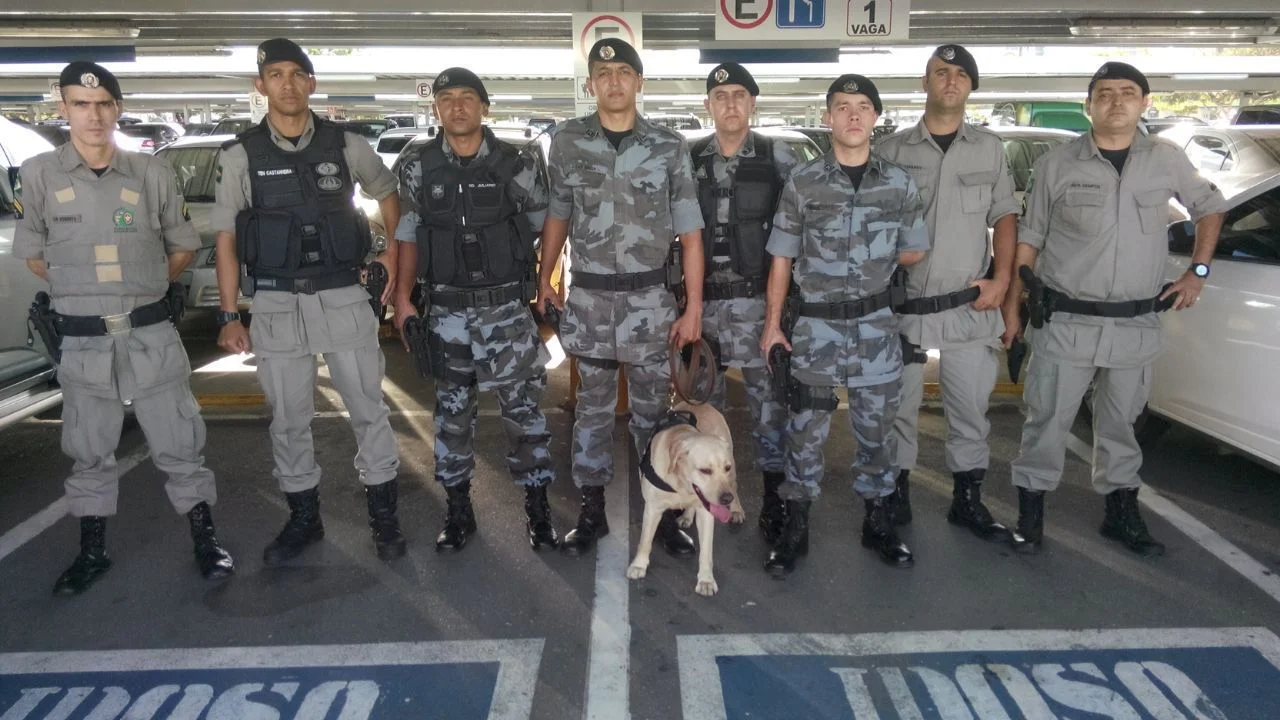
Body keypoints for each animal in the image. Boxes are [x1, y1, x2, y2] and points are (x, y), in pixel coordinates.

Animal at [627, 397, 747, 594]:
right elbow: (645, 540)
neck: (682, 484)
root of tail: (700, 402)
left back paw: (736, 510)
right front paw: (639, 565)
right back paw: (687, 517)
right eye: (705, 470)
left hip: (732, 472)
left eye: (726, 467)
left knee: (735, 486)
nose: (726, 499)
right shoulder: (653, 508)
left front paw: (706, 580)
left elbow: (706, 551)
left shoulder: (707, 513)